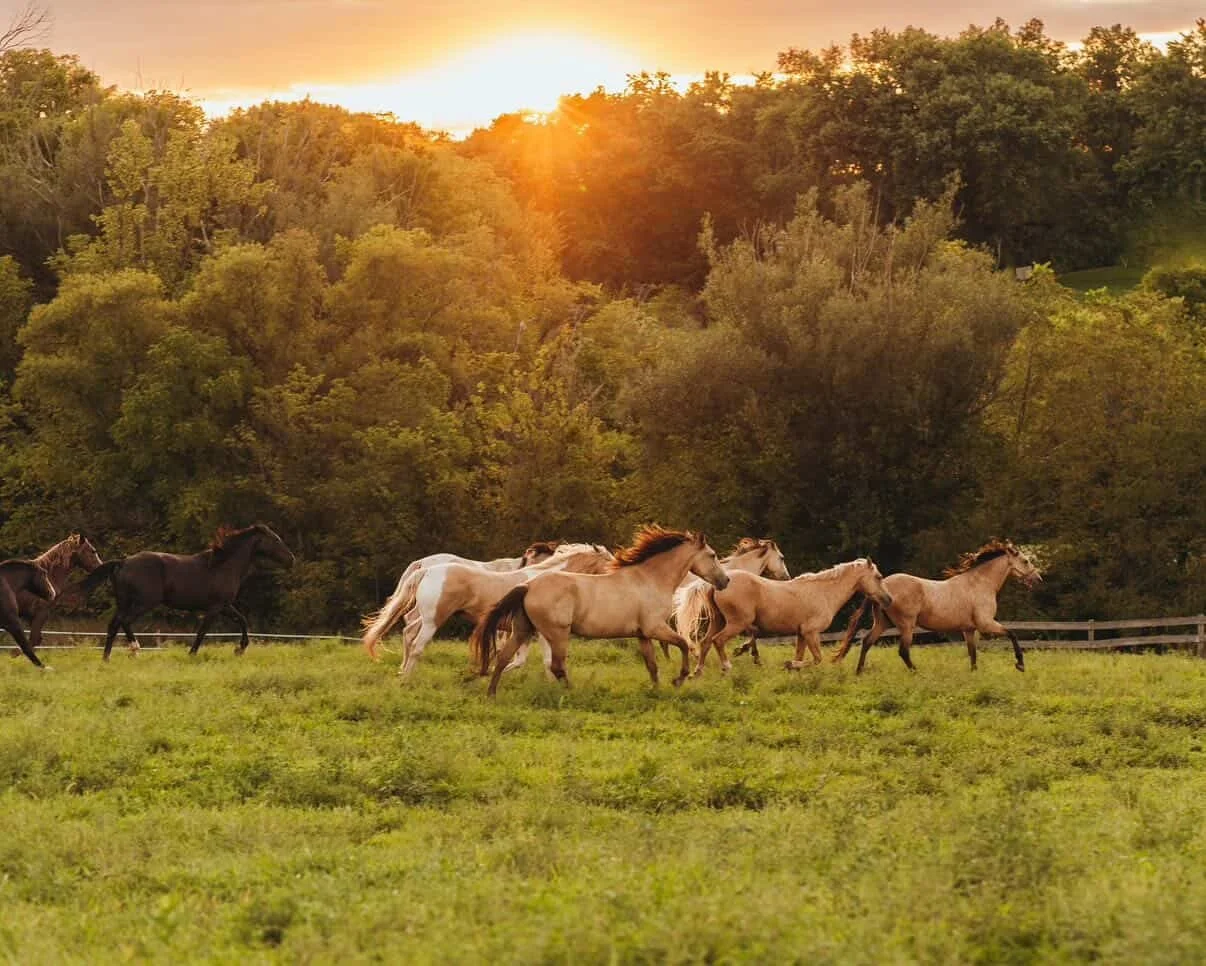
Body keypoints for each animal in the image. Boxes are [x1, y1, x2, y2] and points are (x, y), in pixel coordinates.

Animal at [72, 524, 295, 660]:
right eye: (276, 540)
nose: (291, 559)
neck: (223, 566)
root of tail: (123, 562)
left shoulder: (225, 606)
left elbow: (242, 620)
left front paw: (239, 649)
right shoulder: (215, 608)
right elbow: (202, 631)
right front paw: (192, 654)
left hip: (124, 602)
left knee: (113, 625)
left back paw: (106, 658)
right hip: (144, 603)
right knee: (125, 622)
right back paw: (135, 649)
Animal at [362, 544, 613, 675]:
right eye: (609, 561)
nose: (617, 573)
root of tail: (425, 568)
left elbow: (520, 660)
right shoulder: (542, 631)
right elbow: (547, 661)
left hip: (425, 617)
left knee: (408, 633)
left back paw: (402, 671)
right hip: (433, 620)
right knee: (416, 646)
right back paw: (406, 679)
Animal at [472, 526, 730, 695]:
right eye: (712, 555)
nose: (725, 581)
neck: (650, 579)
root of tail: (528, 585)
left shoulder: (643, 635)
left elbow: (652, 665)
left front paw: (657, 691)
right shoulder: (655, 628)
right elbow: (684, 644)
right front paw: (679, 679)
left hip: (523, 630)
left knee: (503, 658)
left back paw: (491, 694)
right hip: (557, 633)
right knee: (557, 666)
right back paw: (573, 692)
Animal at [688, 558, 893, 675]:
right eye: (878, 576)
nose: (888, 599)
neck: (824, 593)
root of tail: (719, 583)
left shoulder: (801, 634)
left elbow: (801, 656)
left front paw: (793, 669)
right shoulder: (811, 632)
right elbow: (817, 659)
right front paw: (789, 665)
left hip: (719, 621)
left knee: (705, 642)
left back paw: (697, 672)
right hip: (736, 623)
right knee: (718, 641)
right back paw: (726, 667)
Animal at [831, 539, 1042, 674]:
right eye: (1025, 561)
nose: (1038, 579)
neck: (981, 584)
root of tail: (881, 586)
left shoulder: (969, 630)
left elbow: (972, 653)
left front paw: (974, 674)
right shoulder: (986, 624)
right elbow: (1012, 634)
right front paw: (1020, 665)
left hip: (883, 623)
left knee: (867, 642)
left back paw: (859, 672)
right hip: (906, 625)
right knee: (903, 651)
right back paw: (917, 673)